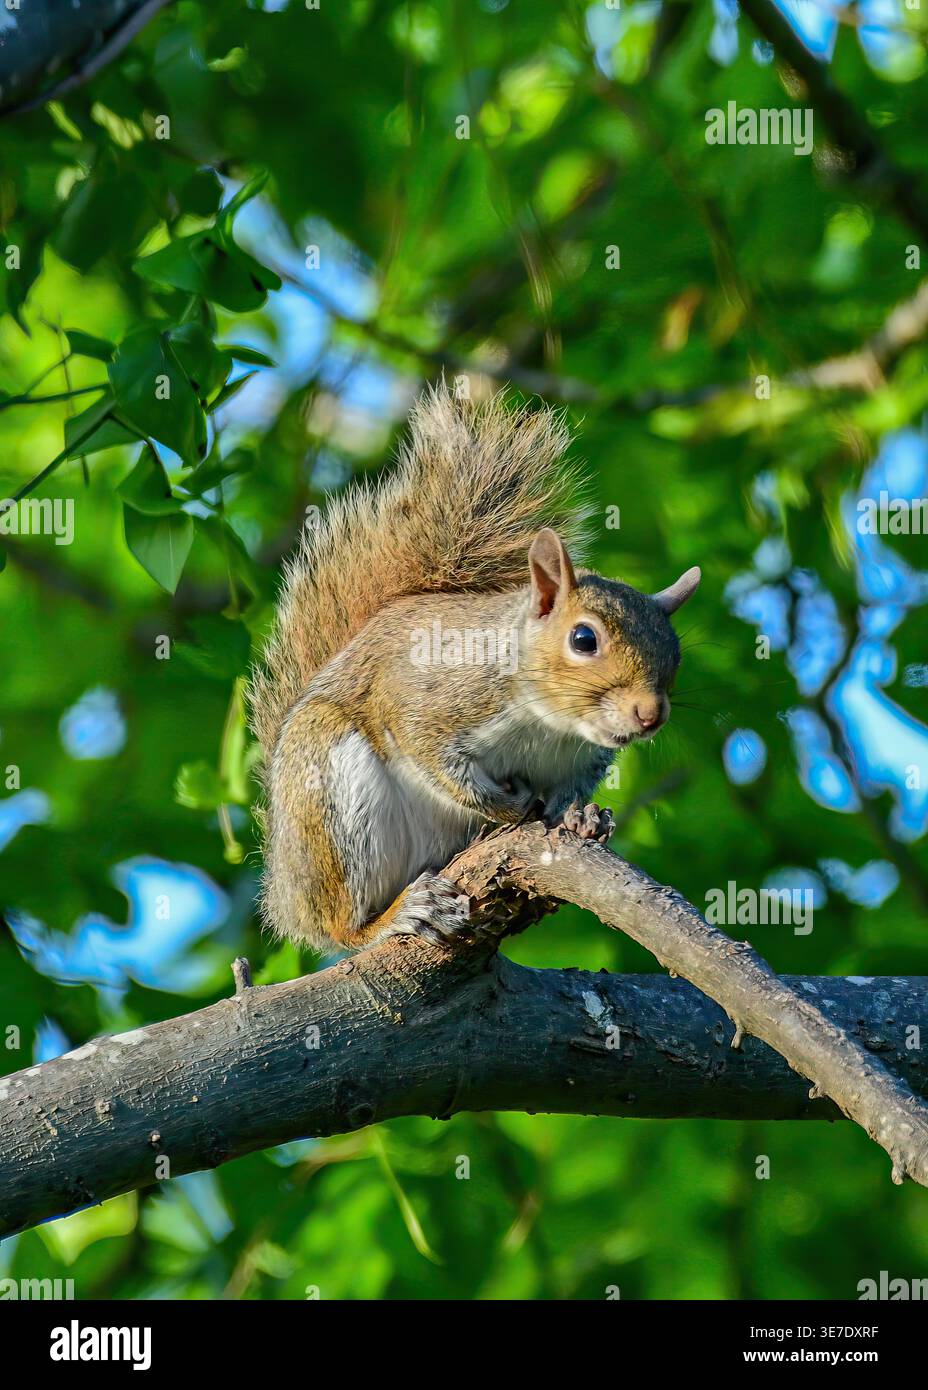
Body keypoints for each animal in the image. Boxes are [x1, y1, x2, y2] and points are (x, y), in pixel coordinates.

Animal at [248, 383, 699, 952]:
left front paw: (580, 815)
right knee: (341, 924)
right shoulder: (426, 703)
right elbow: (440, 764)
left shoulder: (584, 759)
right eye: (583, 639)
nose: (650, 715)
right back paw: (395, 915)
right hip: (327, 791)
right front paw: (507, 806)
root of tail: (285, 890)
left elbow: (572, 790)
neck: (551, 725)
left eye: (675, 653)